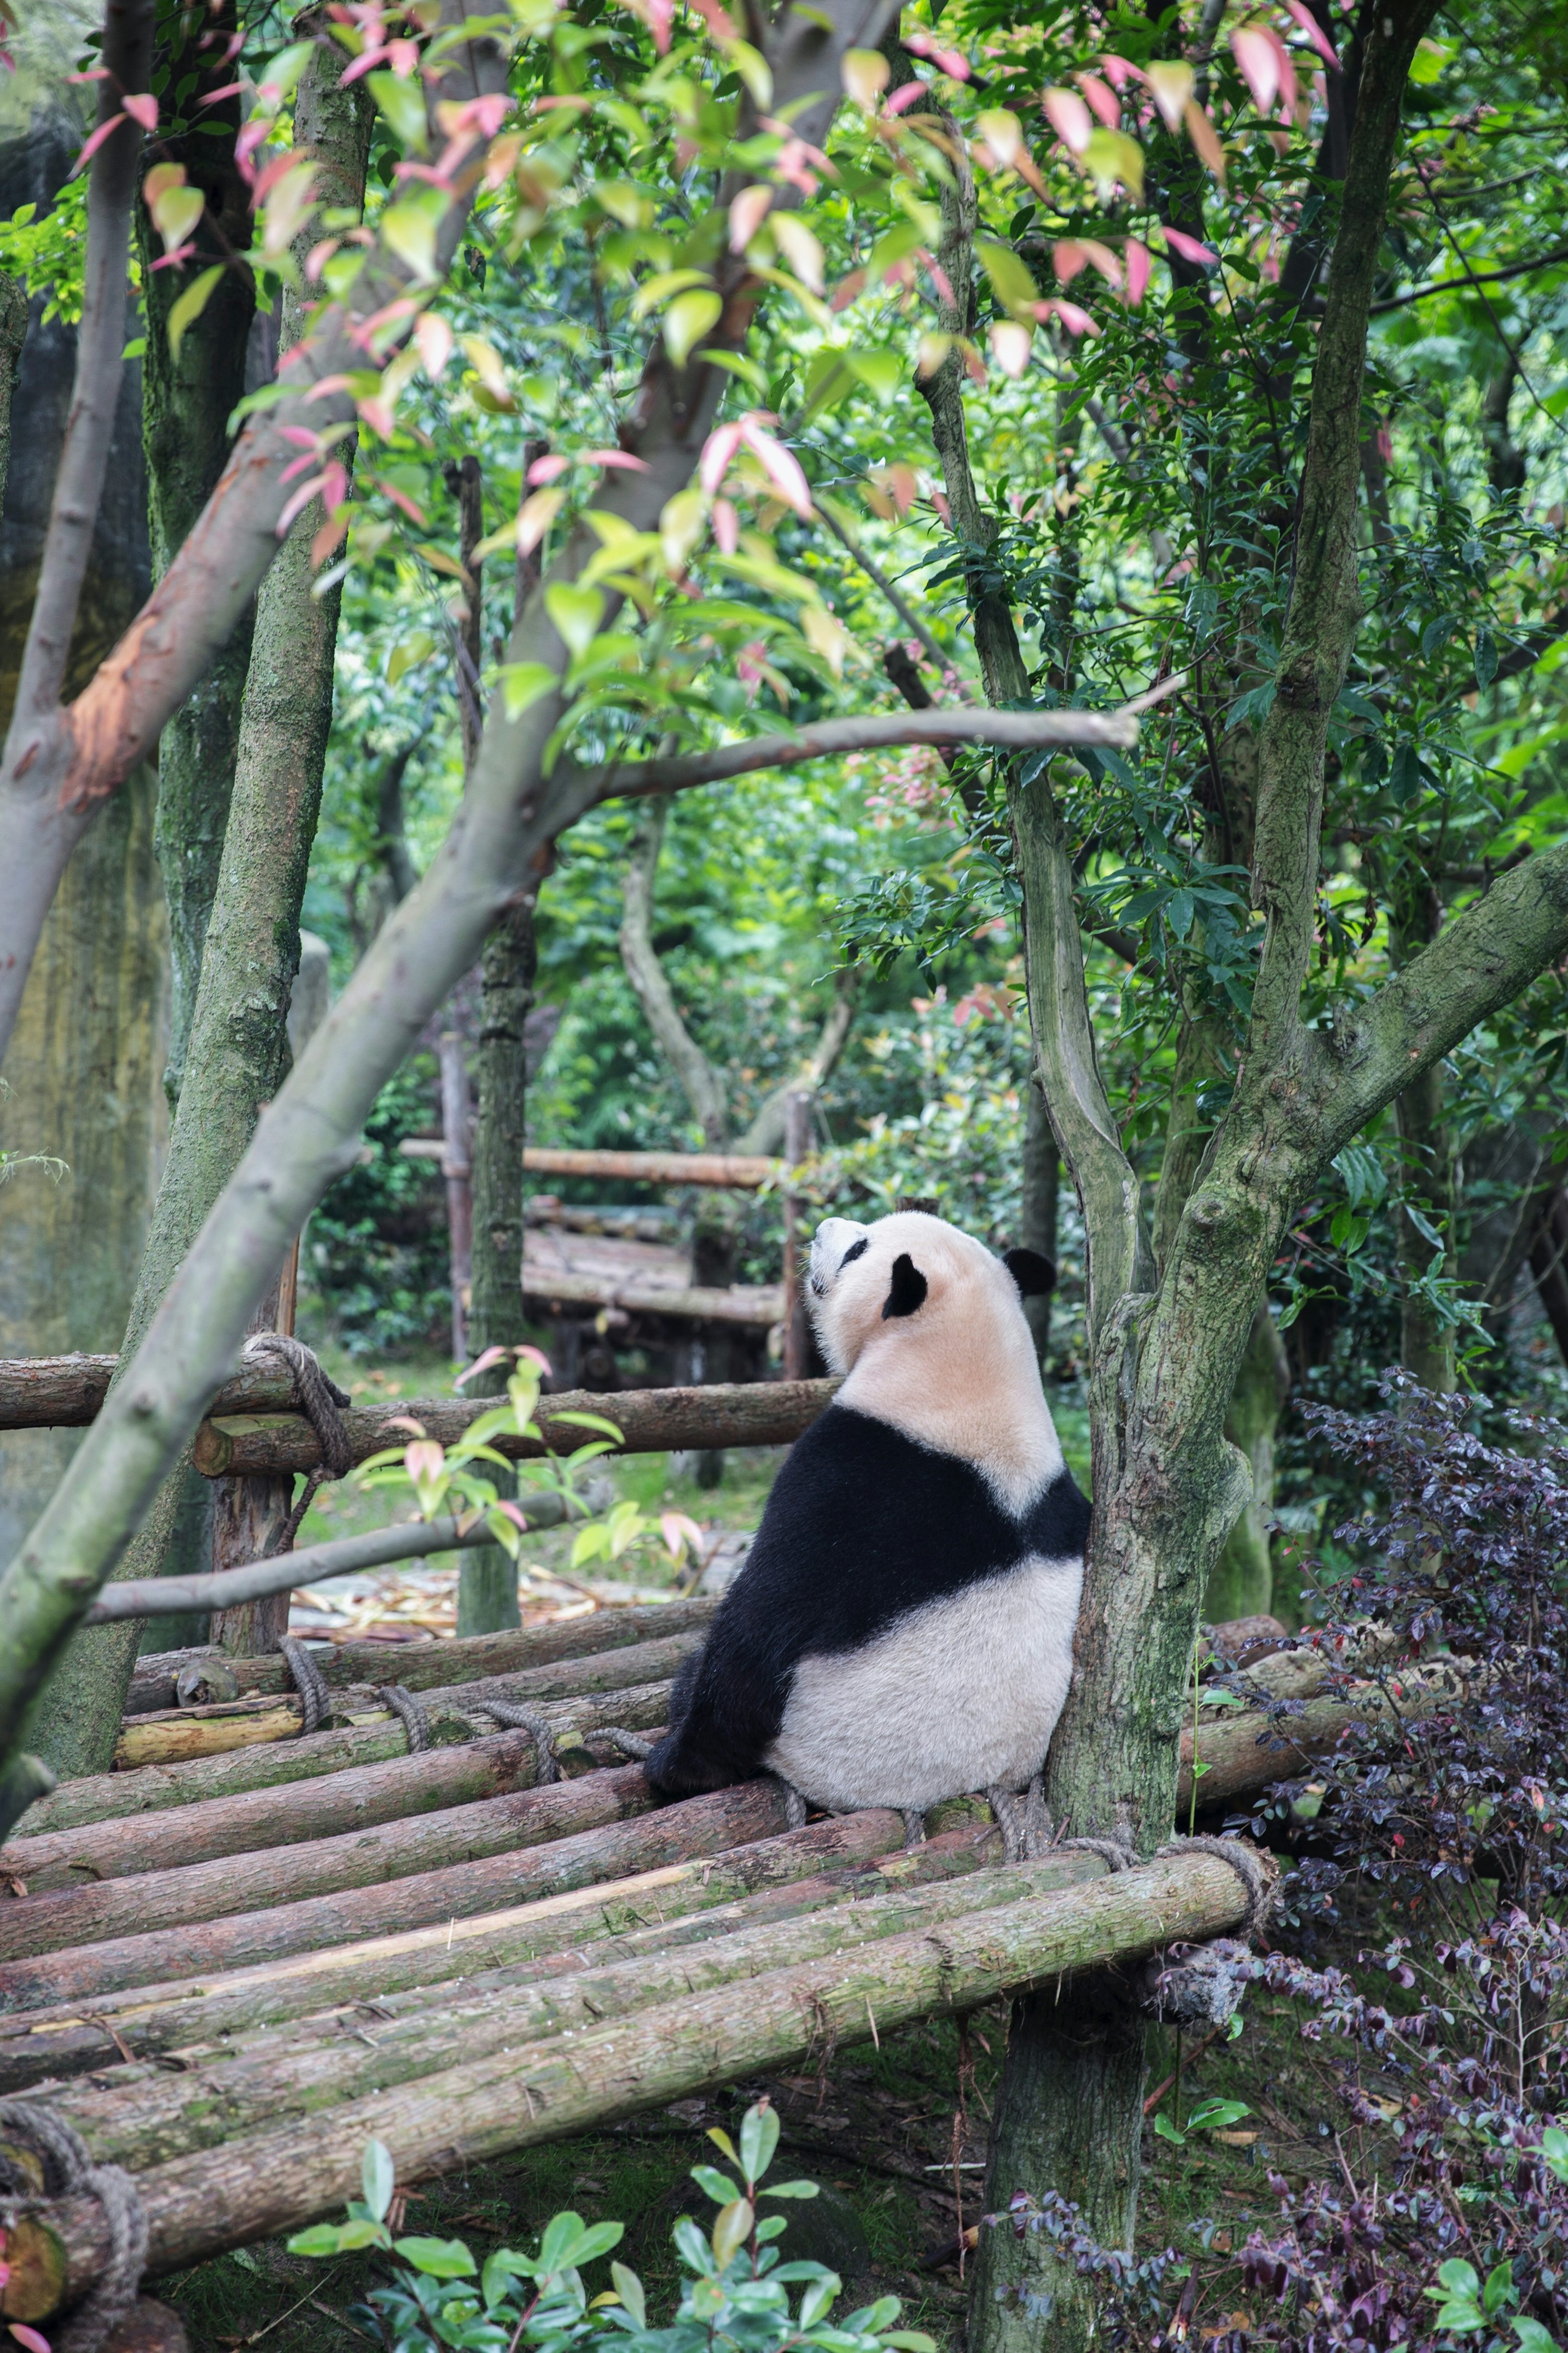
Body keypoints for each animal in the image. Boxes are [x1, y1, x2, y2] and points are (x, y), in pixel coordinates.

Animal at [644, 1208, 1090, 1815]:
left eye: (858, 1248)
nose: (822, 1227)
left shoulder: (843, 1482)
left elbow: (760, 1624)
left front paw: (677, 1765)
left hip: (814, 1737)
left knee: (707, 1674)